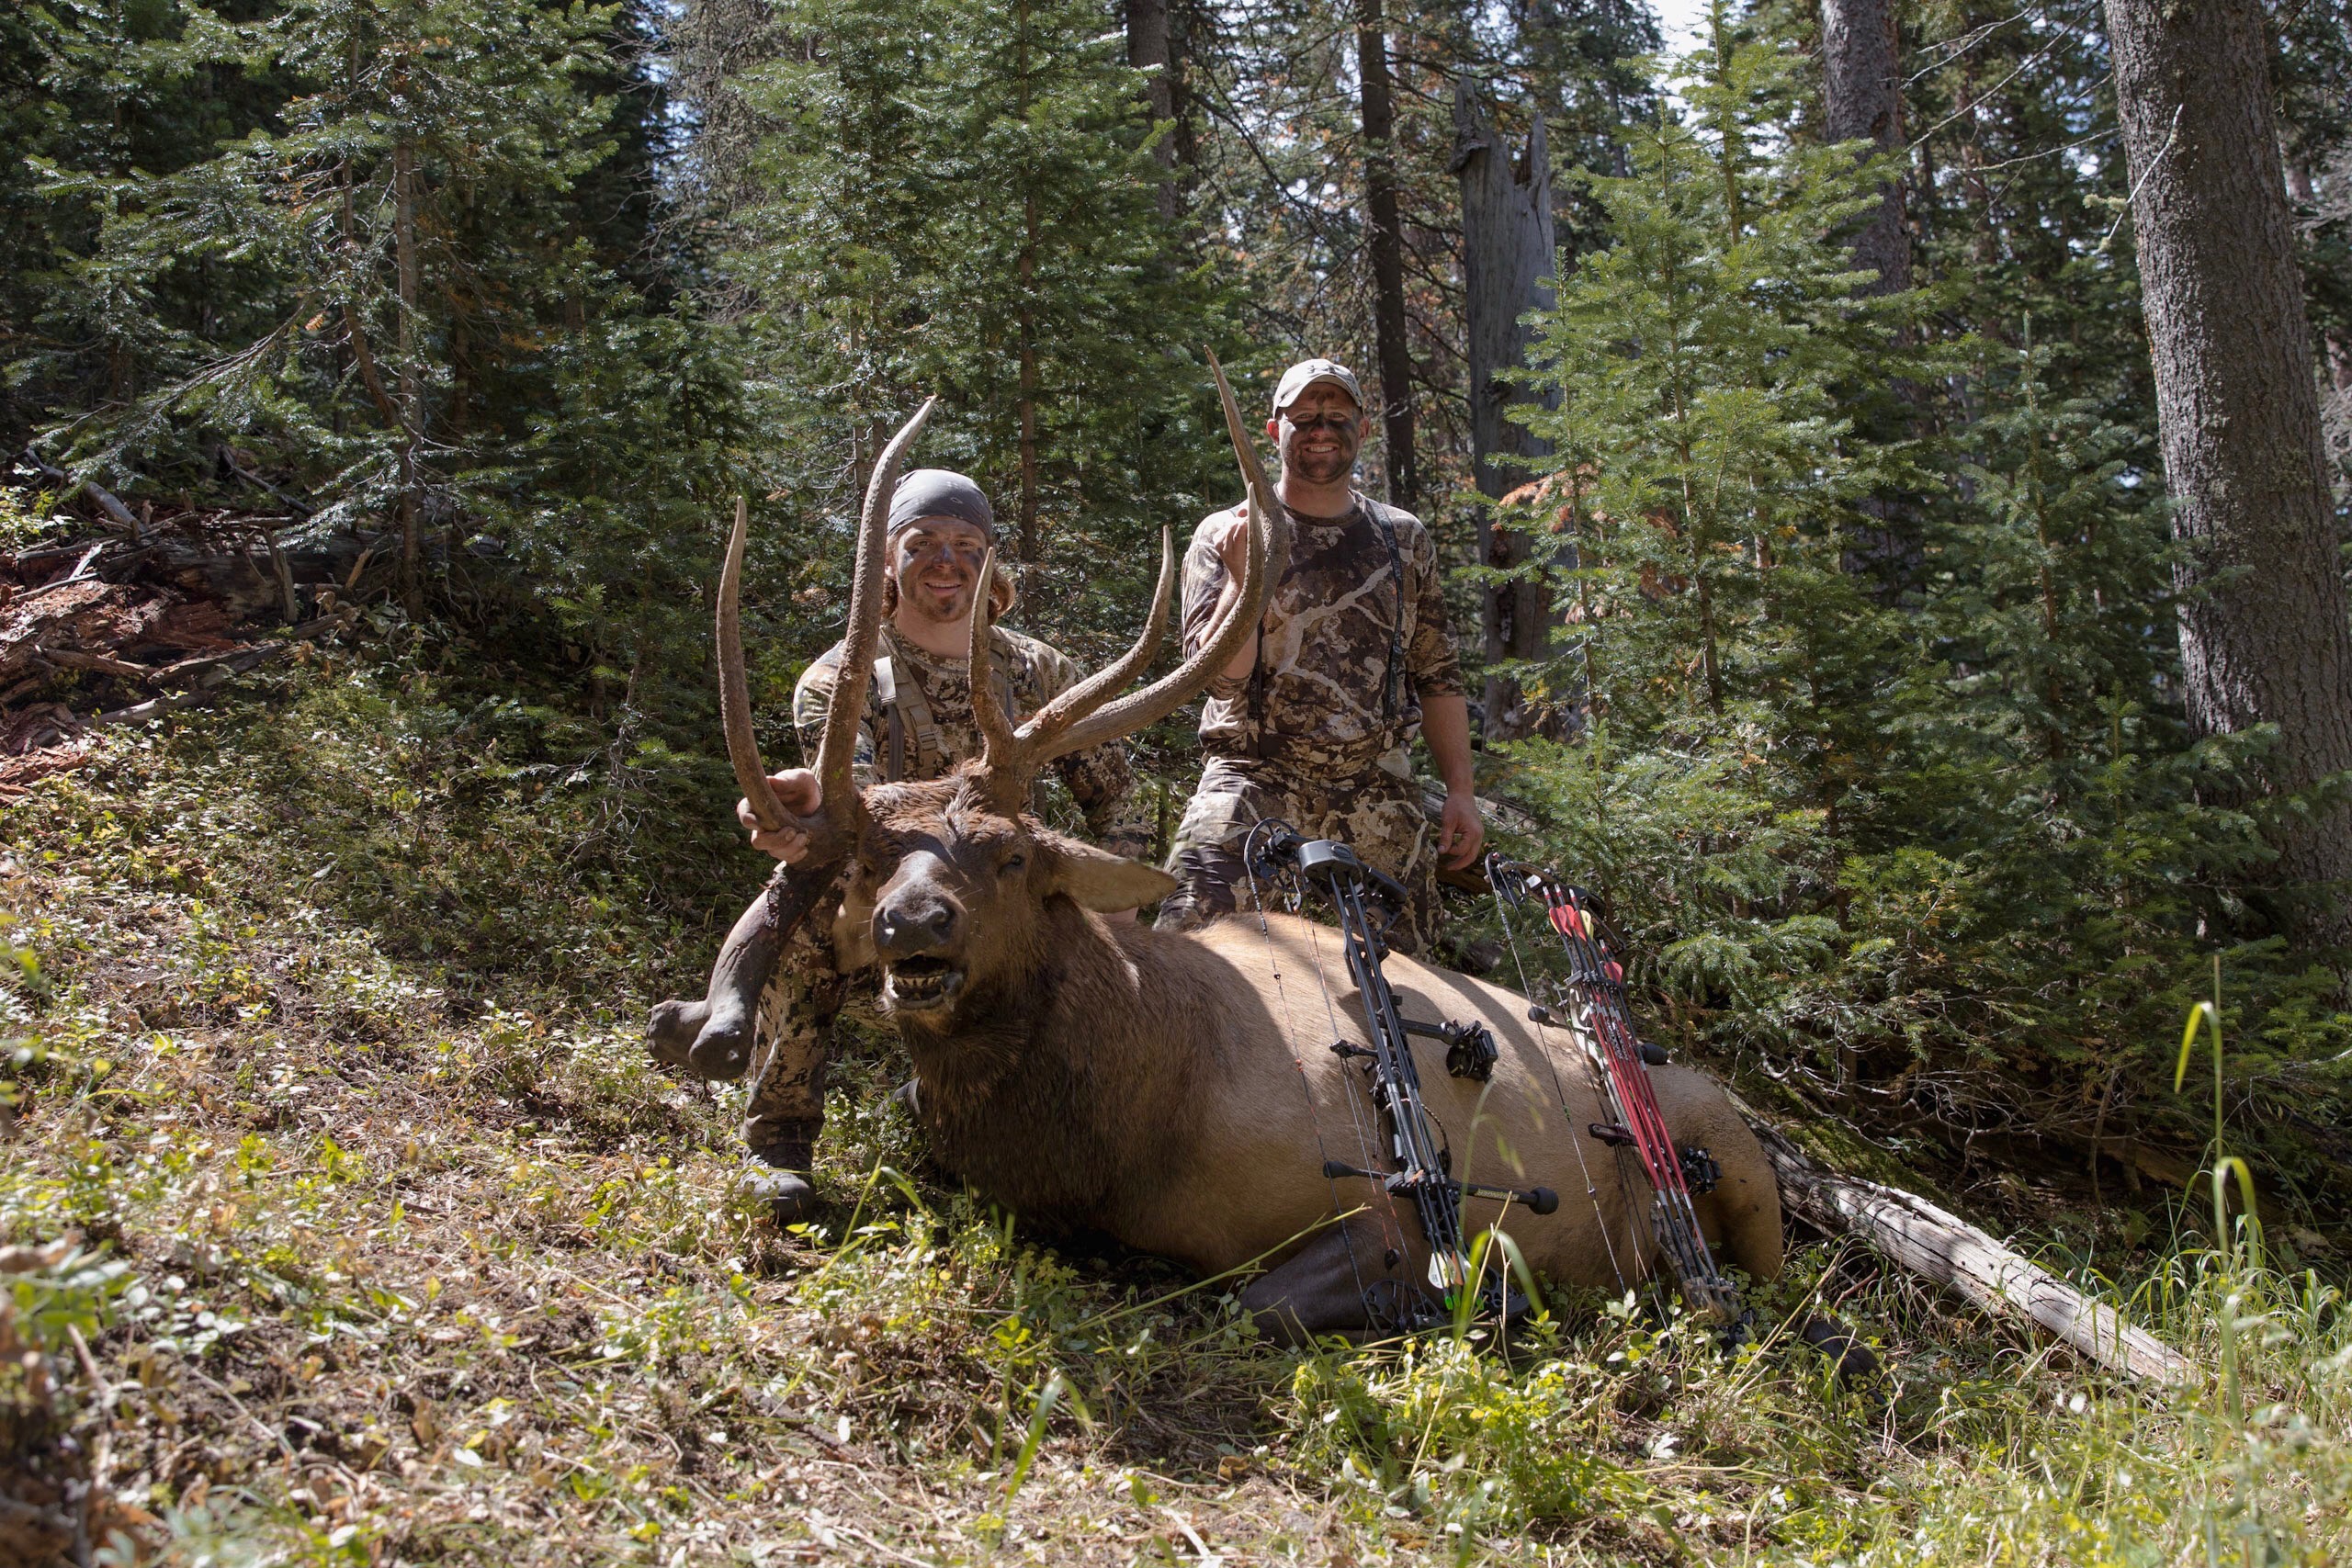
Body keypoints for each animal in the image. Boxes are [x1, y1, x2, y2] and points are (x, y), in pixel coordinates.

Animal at [649, 363, 1785, 1338]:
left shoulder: (1387, 1211)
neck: (1124, 1129)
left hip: (1742, 1166)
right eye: (867, 866)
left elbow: (1262, 1299)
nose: (910, 922)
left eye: (1010, 856)